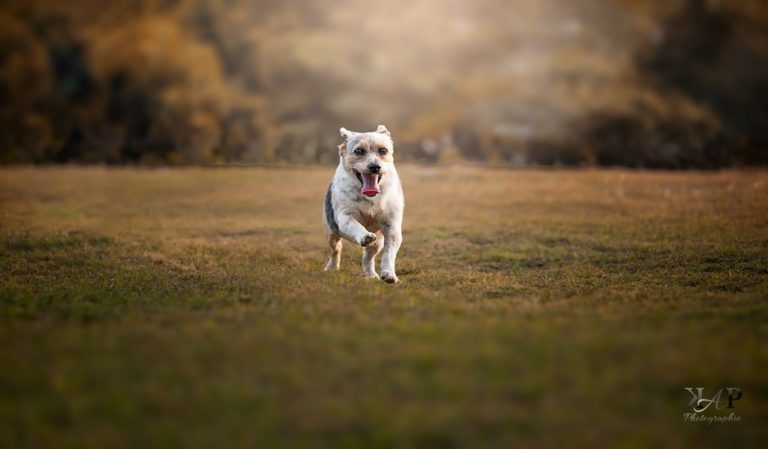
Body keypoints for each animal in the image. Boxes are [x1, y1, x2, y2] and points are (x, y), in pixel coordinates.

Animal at [324, 124, 404, 282]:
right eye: (359, 151)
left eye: (383, 150)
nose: (374, 167)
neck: (370, 198)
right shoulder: (345, 217)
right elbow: (354, 225)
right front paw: (365, 236)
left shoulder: (392, 227)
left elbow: (389, 253)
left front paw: (388, 274)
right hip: (332, 233)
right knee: (336, 249)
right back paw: (332, 268)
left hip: (377, 243)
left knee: (368, 257)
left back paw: (371, 275)